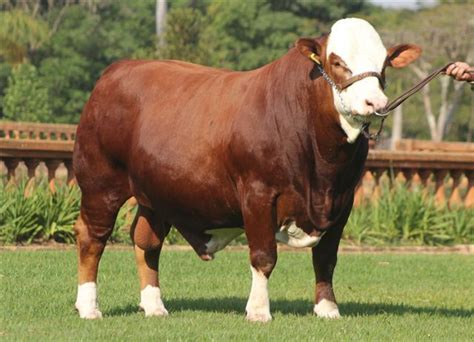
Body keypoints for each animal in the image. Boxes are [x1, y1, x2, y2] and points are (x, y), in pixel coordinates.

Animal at [72, 18, 420, 322]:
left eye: (384, 64)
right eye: (336, 62)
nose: (375, 103)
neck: (323, 167)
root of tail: (117, 70)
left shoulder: (343, 200)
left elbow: (326, 257)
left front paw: (327, 309)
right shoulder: (258, 193)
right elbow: (264, 256)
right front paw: (258, 311)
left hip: (156, 192)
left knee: (147, 241)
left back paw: (155, 306)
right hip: (100, 183)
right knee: (92, 237)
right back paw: (89, 307)